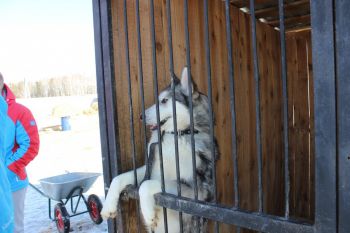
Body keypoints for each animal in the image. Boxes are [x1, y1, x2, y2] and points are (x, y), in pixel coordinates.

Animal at [100, 67, 217, 233]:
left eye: (164, 101)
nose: (140, 116)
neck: (176, 134)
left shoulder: (195, 193)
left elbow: (146, 184)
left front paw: (148, 214)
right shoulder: (149, 166)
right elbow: (119, 178)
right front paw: (108, 205)